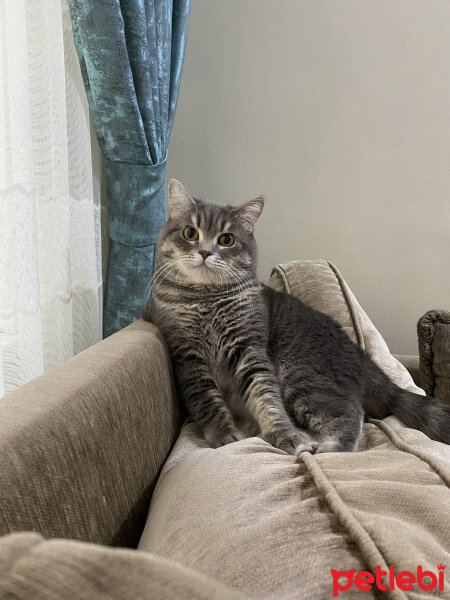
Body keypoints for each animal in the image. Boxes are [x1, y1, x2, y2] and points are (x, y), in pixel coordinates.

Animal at [145, 179, 450, 454]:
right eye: (190, 233)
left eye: (226, 239)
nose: (205, 252)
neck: (205, 300)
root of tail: (362, 357)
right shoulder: (187, 356)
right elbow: (206, 399)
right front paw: (223, 433)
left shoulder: (250, 351)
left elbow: (266, 398)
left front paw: (286, 435)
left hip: (301, 373)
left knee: (351, 413)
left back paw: (329, 449)